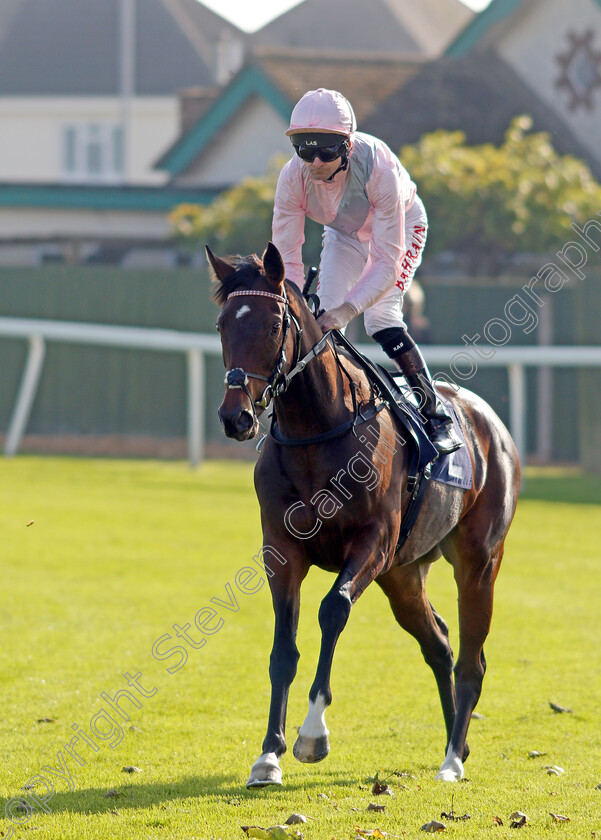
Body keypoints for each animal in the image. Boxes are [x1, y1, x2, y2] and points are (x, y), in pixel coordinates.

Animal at [207, 241, 520, 788]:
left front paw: (312, 734)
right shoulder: (280, 550)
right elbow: (282, 648)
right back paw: (452, 740)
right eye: (224, 323)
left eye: (273, 324)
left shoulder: (372, 541)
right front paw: (268, 754)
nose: (236, 416)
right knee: (439, 643)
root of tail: (493, 426)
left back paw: (453, 758)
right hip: (402, 575)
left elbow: (333, 610)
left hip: (478, 563)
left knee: (472, 660)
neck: (318, 430)